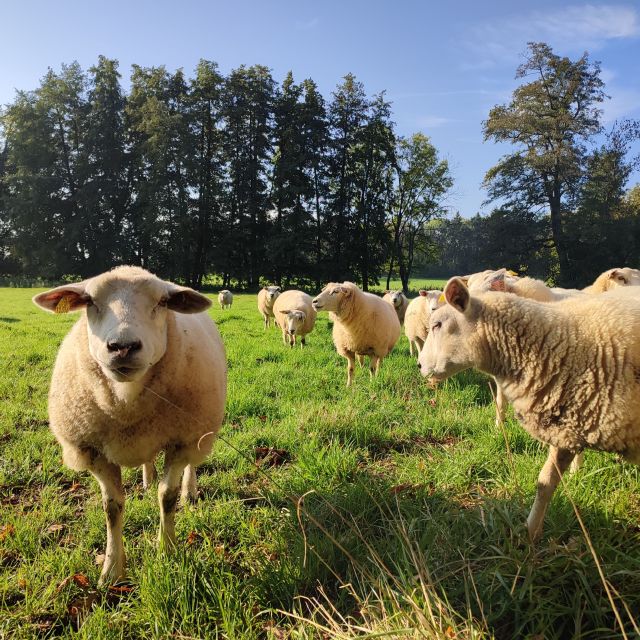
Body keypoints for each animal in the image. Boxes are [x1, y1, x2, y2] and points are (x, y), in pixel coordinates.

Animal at [33, 266, 227, 585]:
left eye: (163, 302)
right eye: (89, 301)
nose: (123, 347)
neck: (127, 401)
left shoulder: (181, 440)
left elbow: (167, 497)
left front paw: (167, 551)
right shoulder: (93, 451)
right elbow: (112, 507)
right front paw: (111, 571)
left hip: (198, 432)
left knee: (192, 464)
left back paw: (190, 491)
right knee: (147, 460)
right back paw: (147, 480)